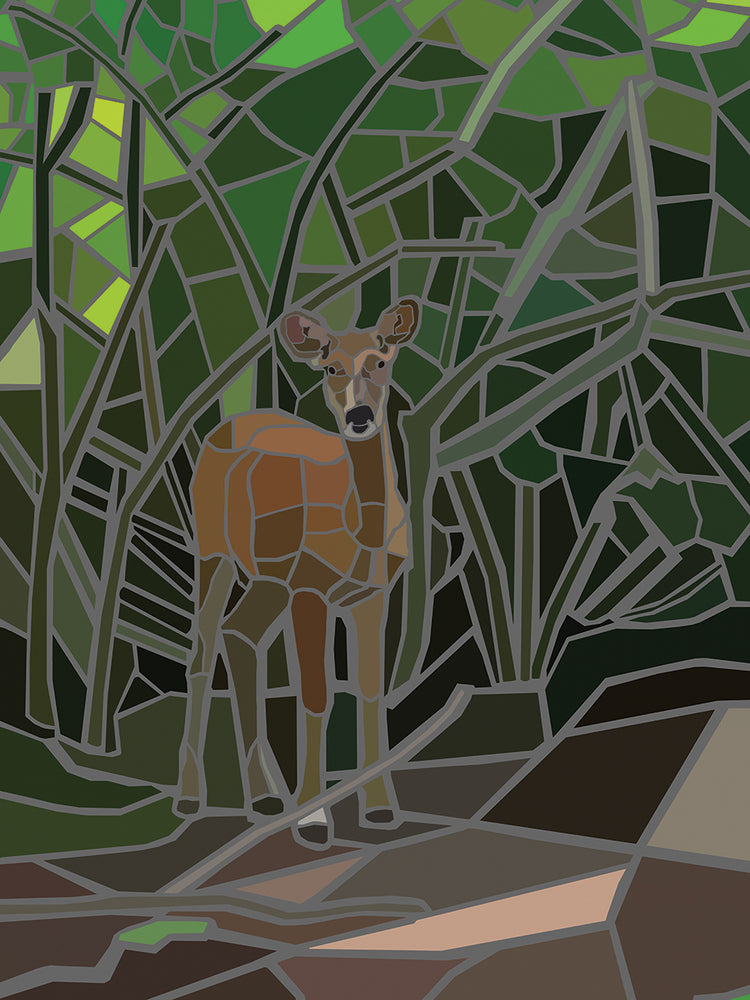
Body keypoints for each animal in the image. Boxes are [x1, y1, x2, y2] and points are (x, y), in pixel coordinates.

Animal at [174, 299, 420, 846]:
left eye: (381, 360)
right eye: (330, 367)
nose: (358, 416)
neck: (361, 532)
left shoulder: (373, 595)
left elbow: (371, 692)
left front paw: (381, 810)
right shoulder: (311, 589)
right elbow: (316, 694)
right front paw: (313, 820)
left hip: (269, 579)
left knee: (240, 634)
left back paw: (264, 798)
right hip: (213, 551)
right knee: (201, 650)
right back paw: (190, 798)